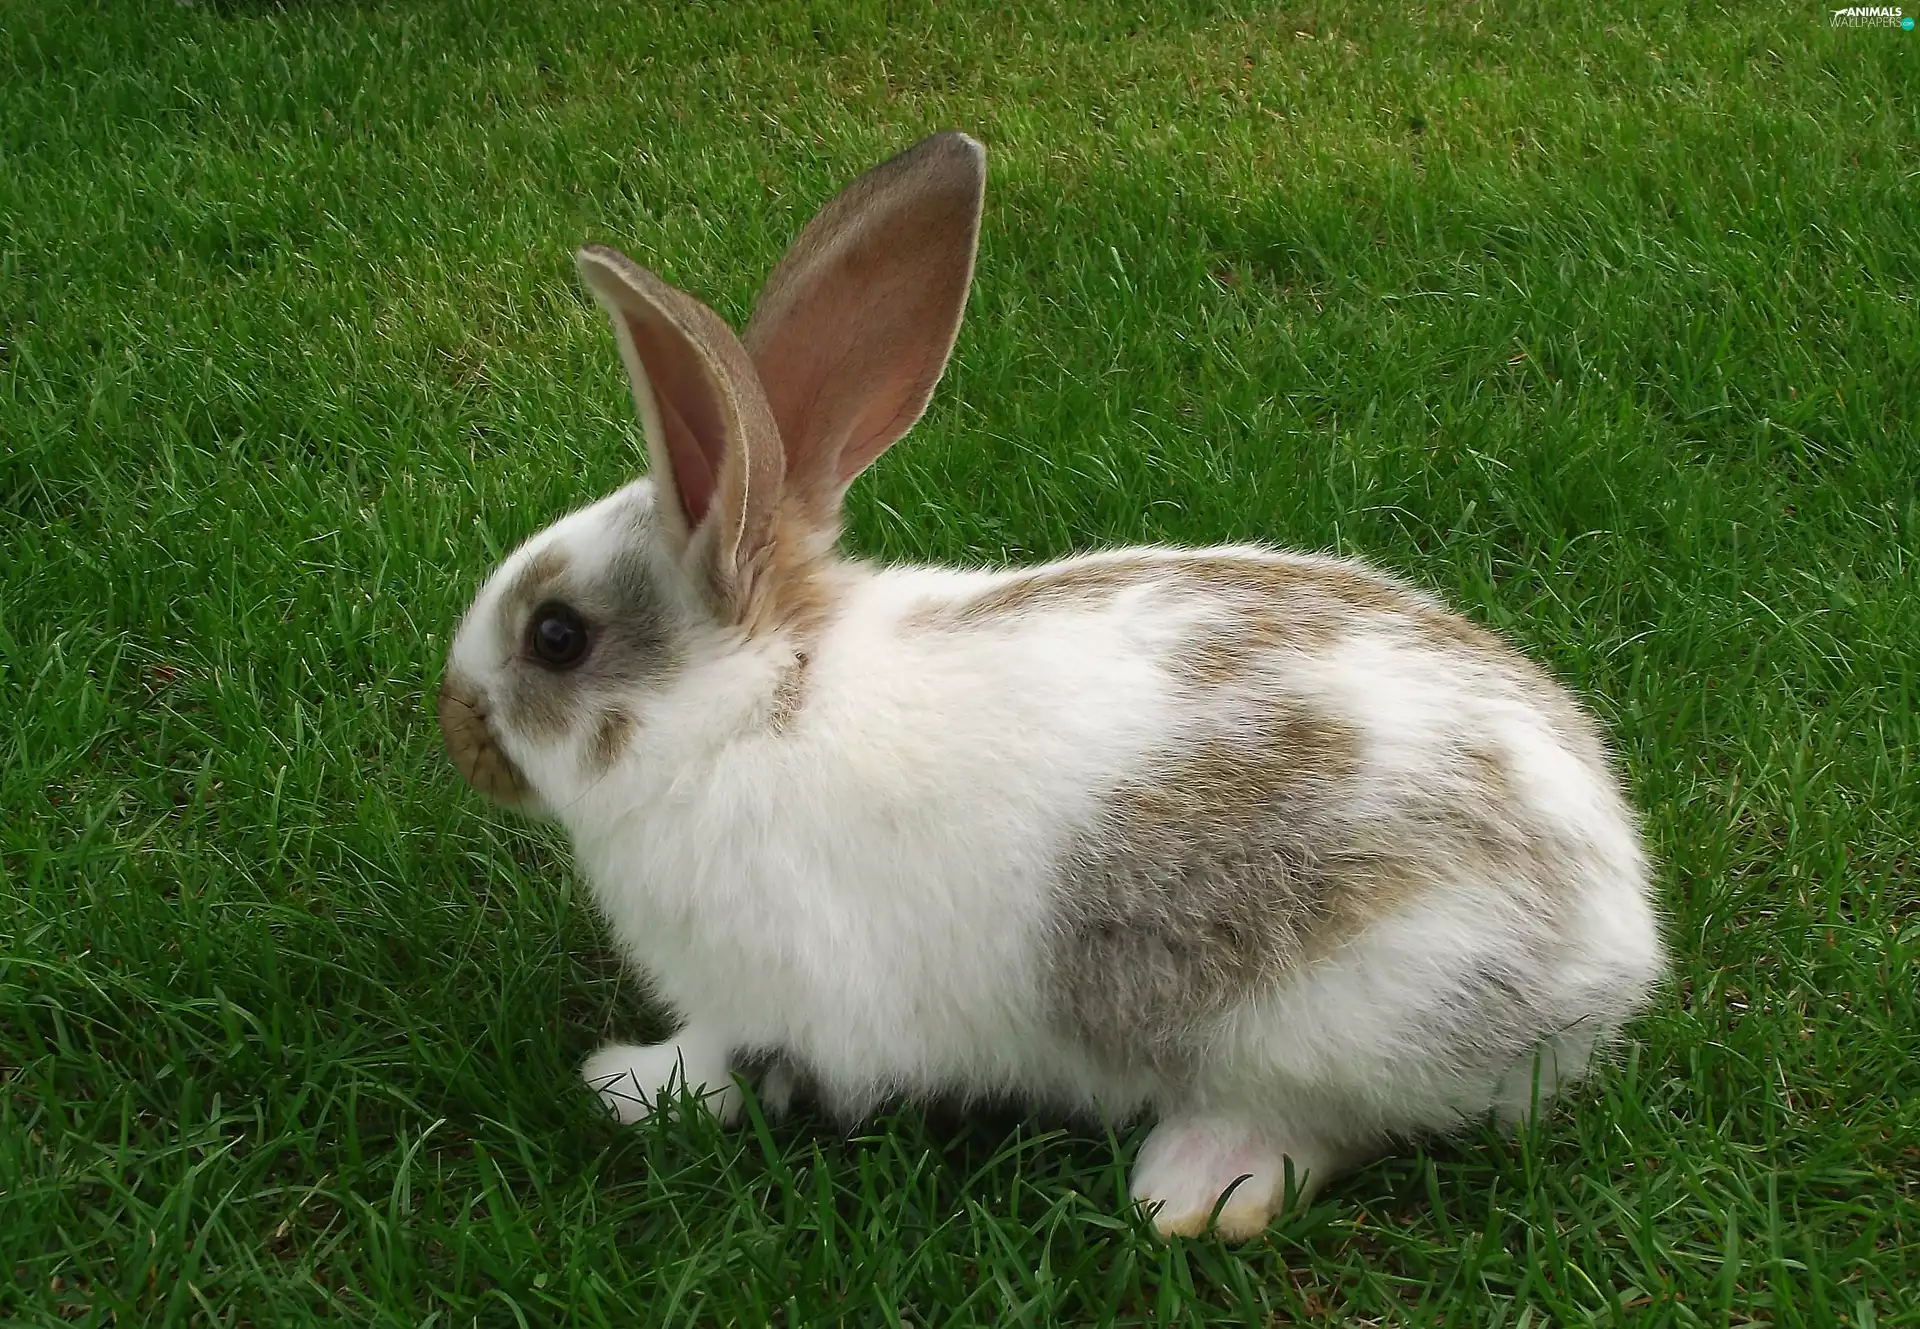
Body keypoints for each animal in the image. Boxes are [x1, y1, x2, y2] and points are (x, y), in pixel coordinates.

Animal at [437, 130, 1663, 1240]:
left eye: (555, 636)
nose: (456, 724)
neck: (753, 707)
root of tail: (1617, 939)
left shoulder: (759, 994)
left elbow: (718, 1064)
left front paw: (622, 1084)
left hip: (1323, 1020)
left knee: (1326, 1127)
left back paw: (1191, 1191)